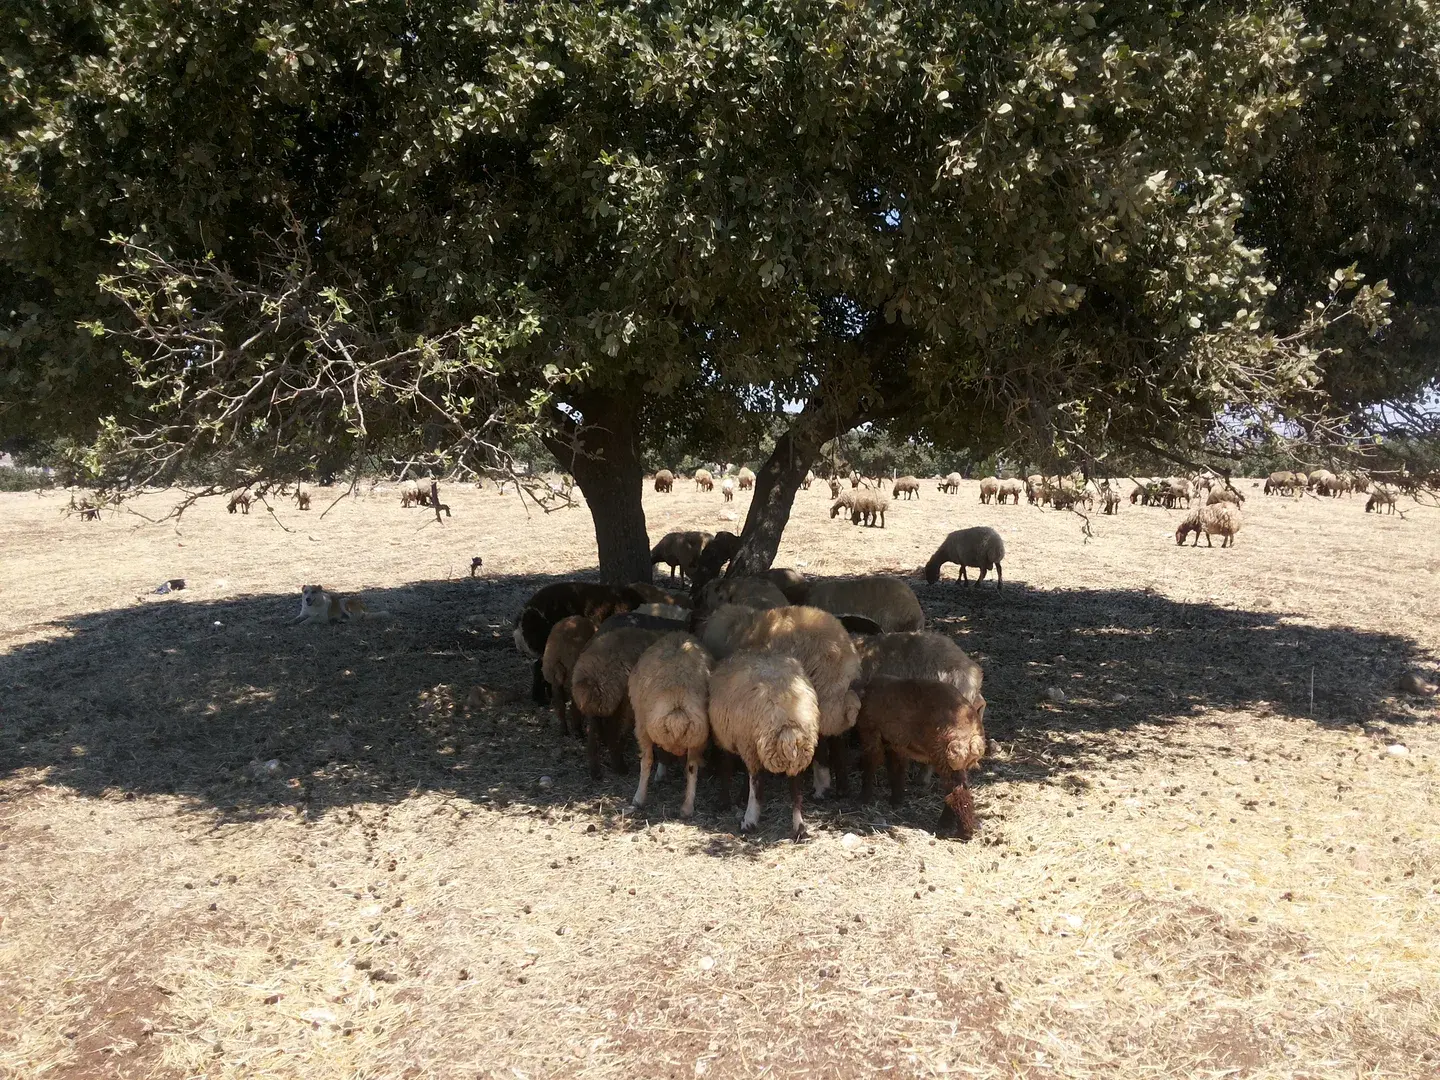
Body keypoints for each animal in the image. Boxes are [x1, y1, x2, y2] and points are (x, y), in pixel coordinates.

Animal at [571, 626, 667, 779]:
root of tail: (594, 676)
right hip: (623, 704)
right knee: (613, 733)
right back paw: (619, 767)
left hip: (598, 708)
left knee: (594, 736)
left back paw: (595, 771)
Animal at [628, 632, 713, 817]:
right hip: (697, 735)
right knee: (692, 766)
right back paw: (687, 807)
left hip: (643, 726)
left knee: (647, 760)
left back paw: (639, 798)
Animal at [707, 651, 820, 839]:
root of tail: (788, 720)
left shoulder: (729, 739)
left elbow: (727, 768)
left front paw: (725, 802)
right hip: (798, 753)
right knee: (795, 790)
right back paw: (800, 827)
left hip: (752, 746)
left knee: (757, 785)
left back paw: (748, 822)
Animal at [856, 677, 987, 839]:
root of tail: (974, 736)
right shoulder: (896, 743)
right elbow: (896, 769)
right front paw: (896, 800)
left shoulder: (871, 732)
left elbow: (871, 764)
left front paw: (864, 798)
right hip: (957, 762)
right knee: (961, 790)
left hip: (945, 756)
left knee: (956, 793)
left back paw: (953, 829)